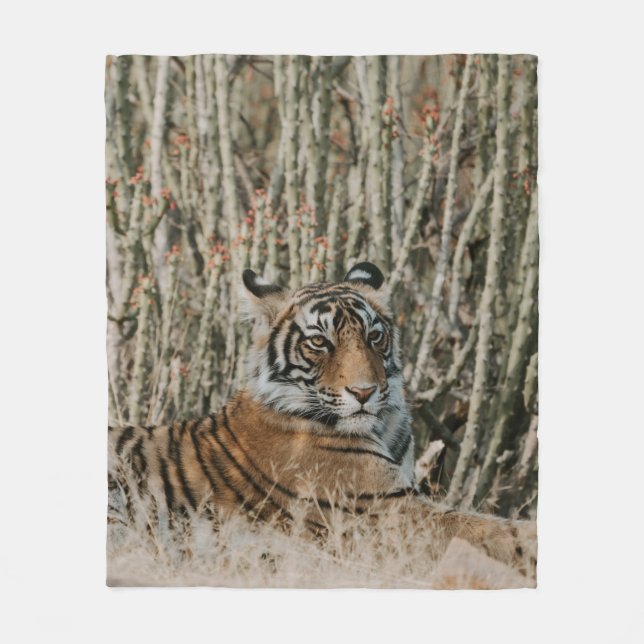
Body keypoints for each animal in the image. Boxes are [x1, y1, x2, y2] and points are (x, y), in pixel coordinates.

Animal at [108, 262, 536, 571]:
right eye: (319, 342)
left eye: (374, 337)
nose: (364, 392)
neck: (383, 426)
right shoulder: (390, 513)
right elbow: (497, 533)